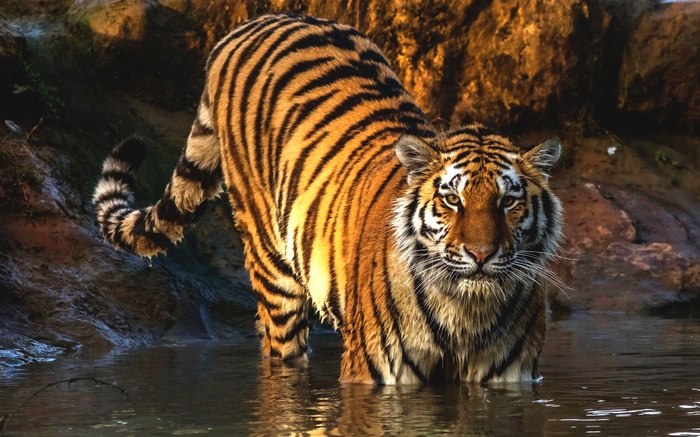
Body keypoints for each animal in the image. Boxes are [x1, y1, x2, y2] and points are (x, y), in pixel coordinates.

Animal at [93, 13, 563, 384]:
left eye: (507, 202)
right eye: (452, 200)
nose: (481, 254)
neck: (466, 311)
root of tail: (252, 23)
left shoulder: (511, 376)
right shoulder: (374, 372)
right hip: (272, 266)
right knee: (279, 346)